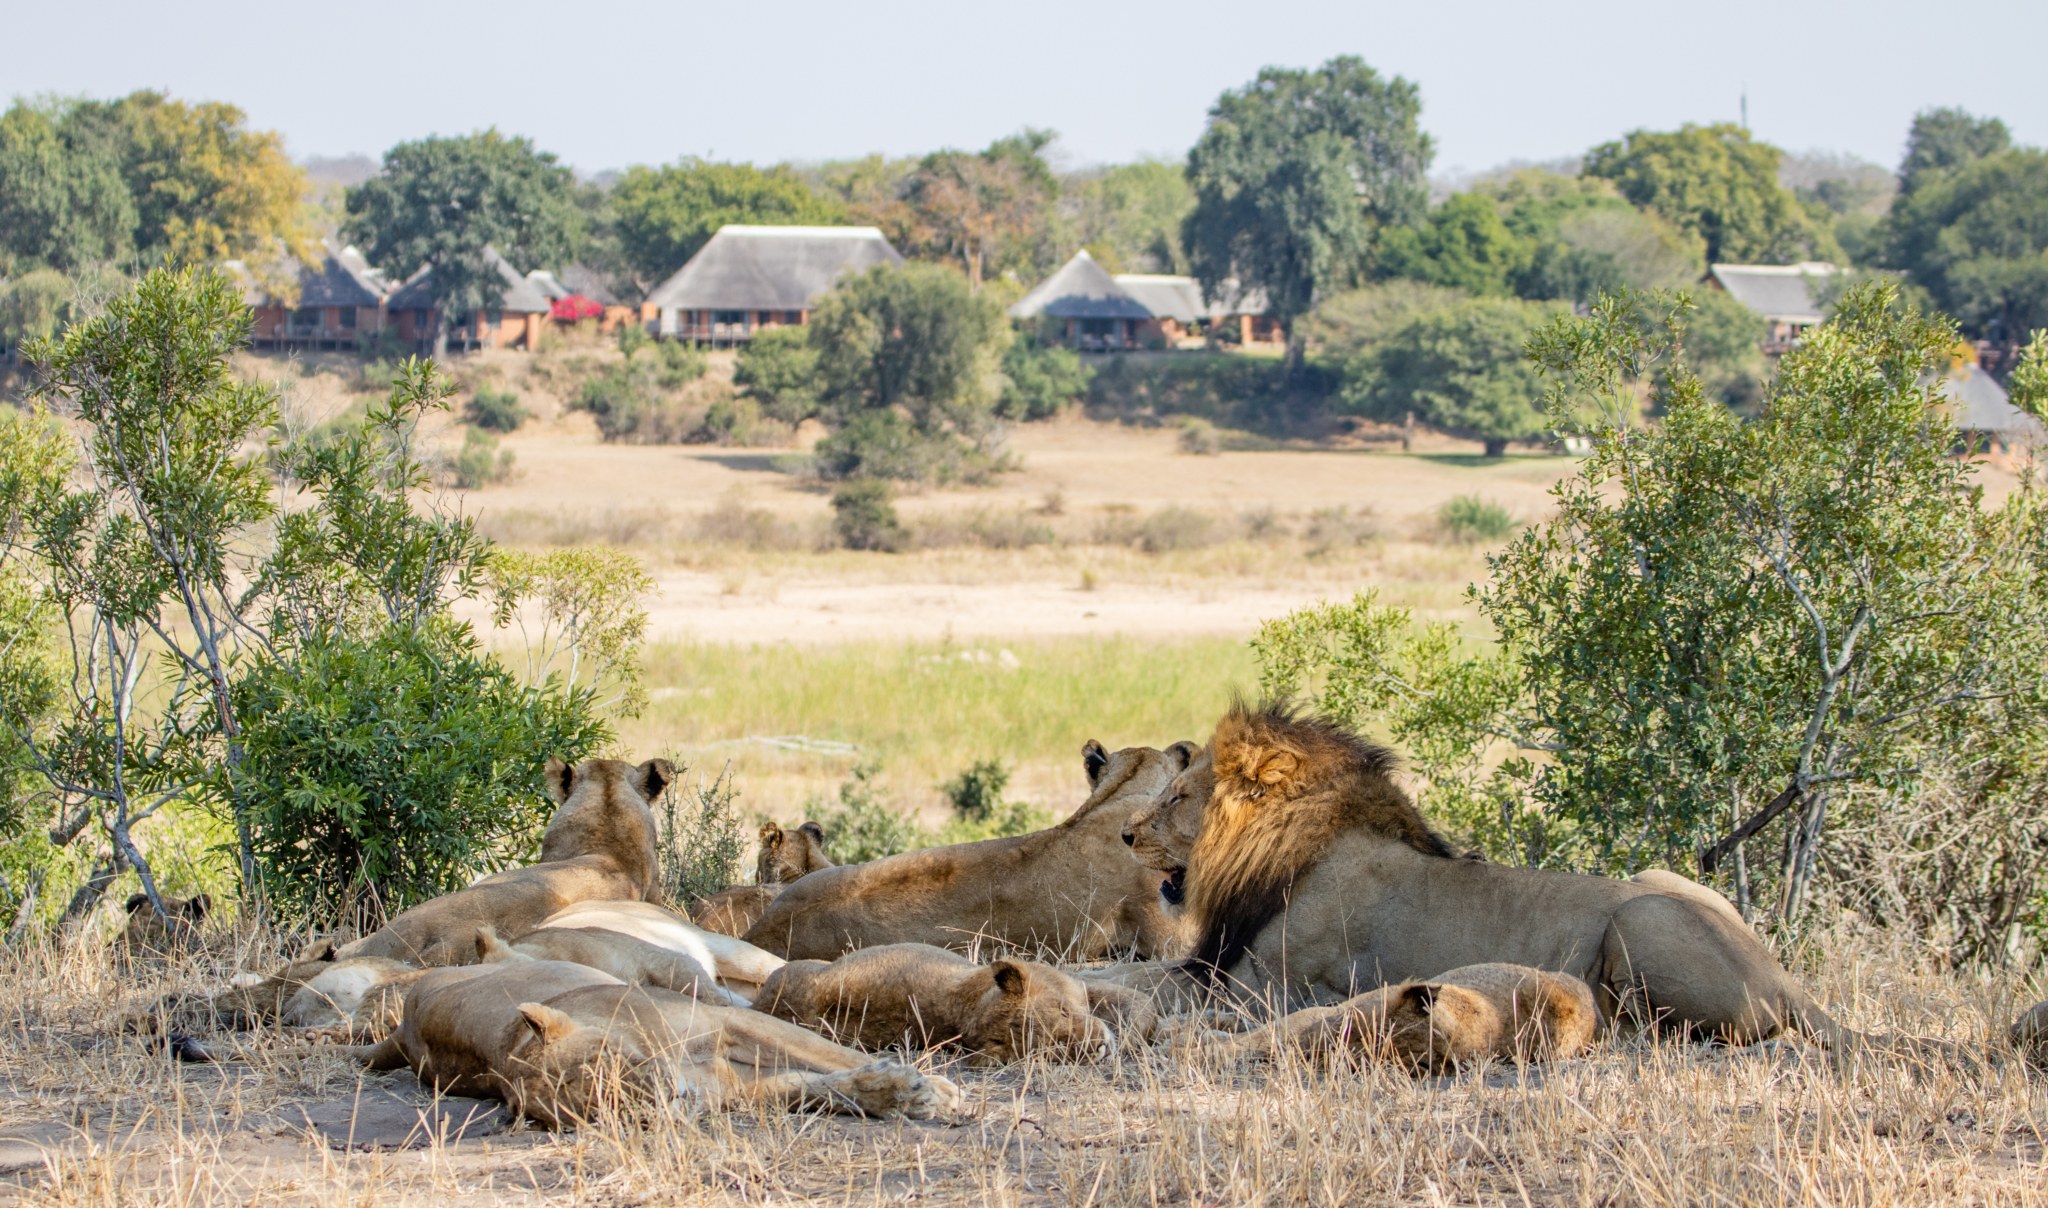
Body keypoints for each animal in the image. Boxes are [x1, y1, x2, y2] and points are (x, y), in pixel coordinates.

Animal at [355, 959, 962, 1127]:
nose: (657, 1104)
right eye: (593, 1112)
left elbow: (831, 1056)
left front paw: (937, 1089)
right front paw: (903, 1093)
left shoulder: (729, 1025)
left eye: (609, 1062)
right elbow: (816, 1087)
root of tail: (401, 1031)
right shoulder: (733, 1087)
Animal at [1117, 701, 1848, 1045]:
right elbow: (1125, 975)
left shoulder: (1268, 986)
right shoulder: (1221, 966)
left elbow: (1141, 986)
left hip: (1639, 917)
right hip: (1657, 878)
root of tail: (1784, 980)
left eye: (1177, 798)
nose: (1125, 834)